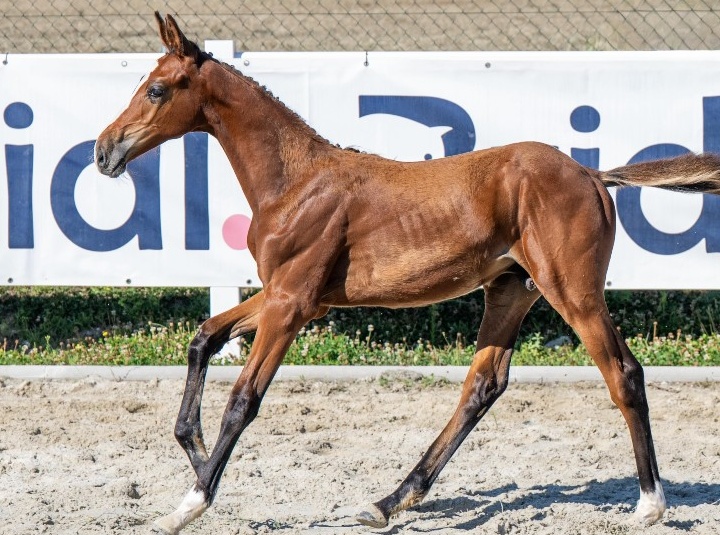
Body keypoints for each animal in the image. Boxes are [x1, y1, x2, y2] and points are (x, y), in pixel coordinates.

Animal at [95, 13, 720, 534]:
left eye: (156, 89)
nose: (104, 151)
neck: (295, 183)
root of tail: (592, 174)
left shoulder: (290, 304)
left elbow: (244, 399)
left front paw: (189, 503)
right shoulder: (290, 297)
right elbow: (204, 338)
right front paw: (196, 452)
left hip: (574, 291)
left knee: (623, 373)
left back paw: (650, 503)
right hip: (510, 291)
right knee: (482, 387)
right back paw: (389, 500)